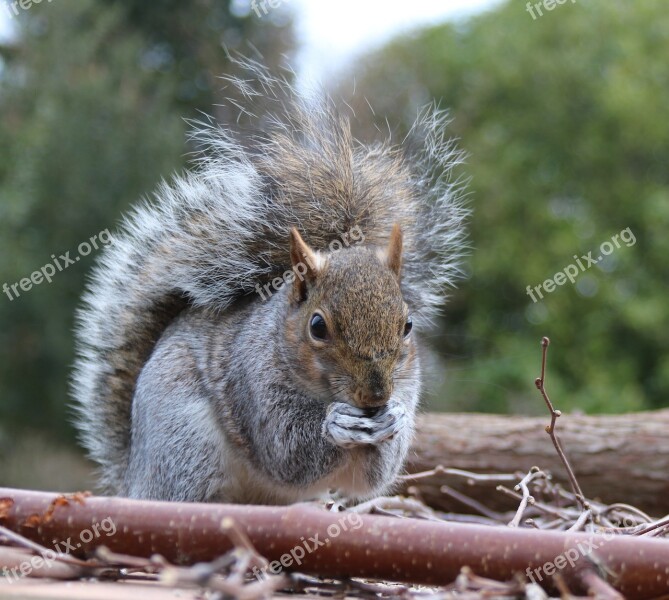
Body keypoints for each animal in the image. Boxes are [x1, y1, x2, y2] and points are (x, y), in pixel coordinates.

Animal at [68, 65, 464, 504]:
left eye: (408, 325)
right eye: (317, 326)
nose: (376, 395)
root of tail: (132, 479)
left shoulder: (407, 384)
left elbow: (374, 476)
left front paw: (392, 417)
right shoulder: (253, 382)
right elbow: (287, 450)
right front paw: (336, 424)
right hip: (184, 449)